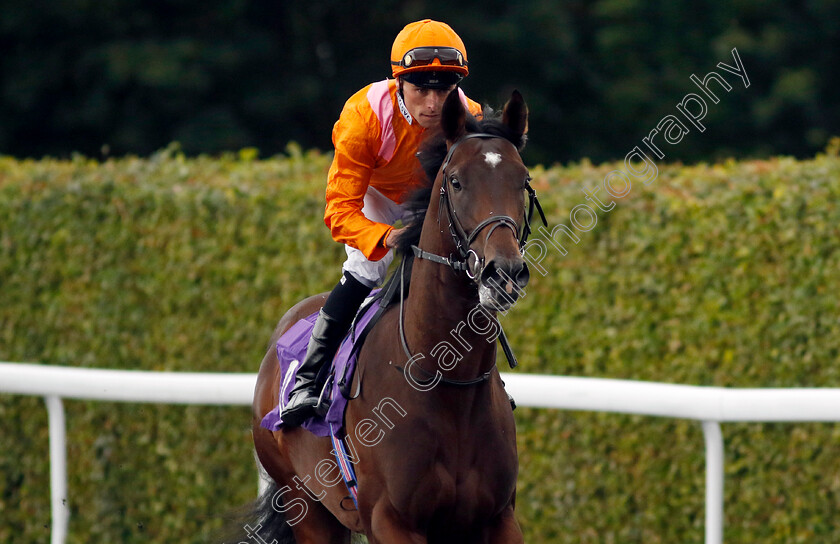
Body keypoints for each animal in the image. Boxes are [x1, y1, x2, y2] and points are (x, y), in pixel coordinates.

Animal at [243, 89, 532, 544]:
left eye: (522, 180)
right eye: (455, 182)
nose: (503, 272)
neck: (446, 380)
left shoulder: (498, 518)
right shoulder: (389, 519)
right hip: (306, 506)